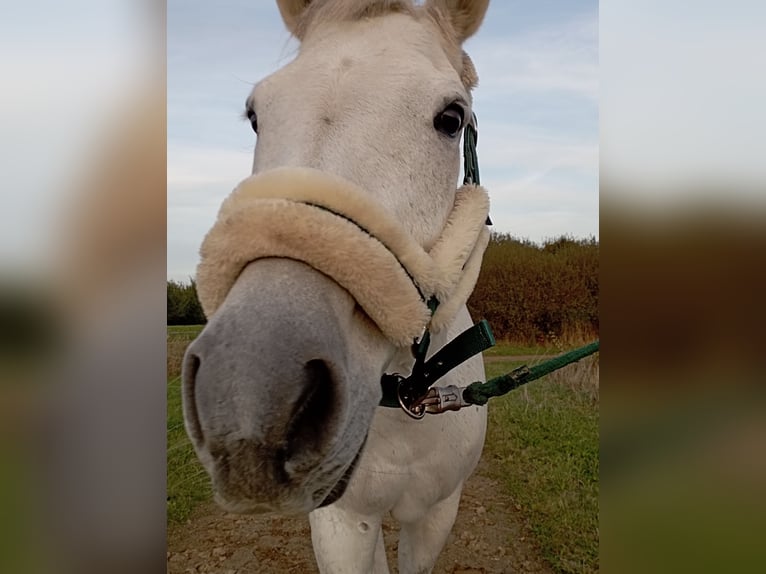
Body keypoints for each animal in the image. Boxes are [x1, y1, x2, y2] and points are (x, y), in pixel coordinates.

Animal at [182, 2, 492, 572]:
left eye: (451, 118)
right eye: (256, 114)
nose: (248, 400)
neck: (407, 403)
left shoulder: (436, 514)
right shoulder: (342, 521)